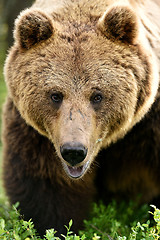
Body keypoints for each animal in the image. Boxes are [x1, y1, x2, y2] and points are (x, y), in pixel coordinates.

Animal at [2, 0, 160, 236]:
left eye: (97, 95)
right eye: (55, 95)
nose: (74, 151)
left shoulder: (151, 123)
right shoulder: (36, 135)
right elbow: (46, 189)